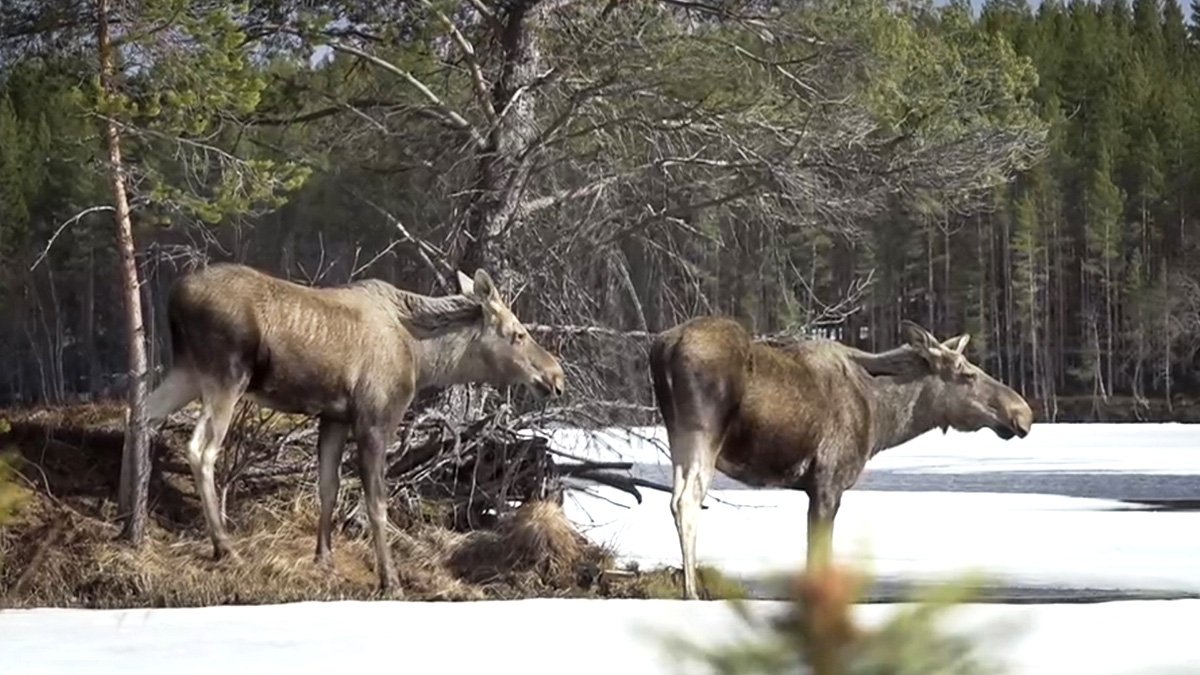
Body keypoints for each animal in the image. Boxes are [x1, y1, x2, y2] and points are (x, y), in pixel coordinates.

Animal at [145, 263, 566, 588]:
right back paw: (223, 544)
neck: (423, 358)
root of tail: (174, 295)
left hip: (187, 371)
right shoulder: (376, 417)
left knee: (145, 414)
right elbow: (376, 501)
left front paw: (324, 558)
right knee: (201, 448)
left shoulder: (334, 416)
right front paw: (389, 578)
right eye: (518, 334)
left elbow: (328, 486)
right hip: (226, 374)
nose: (556, 376)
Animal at [652, 312, 1036, 595]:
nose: (1023, 413)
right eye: (966, 373)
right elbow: (819, 557)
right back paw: (692, 592)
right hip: (702, 430)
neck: (883, 418)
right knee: (687, 501)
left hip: (677, 434)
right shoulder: (828, 482)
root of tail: (663, 348)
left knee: (675, 499)